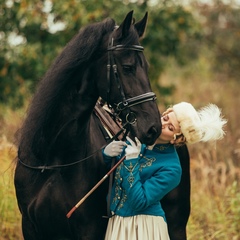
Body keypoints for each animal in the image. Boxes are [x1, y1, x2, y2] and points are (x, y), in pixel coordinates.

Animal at [14, 10, 190, 239]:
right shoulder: (31, 227)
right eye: (128, 67)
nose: (153, 128)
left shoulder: (89, 230)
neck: (53, 159)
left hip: (177, 225)